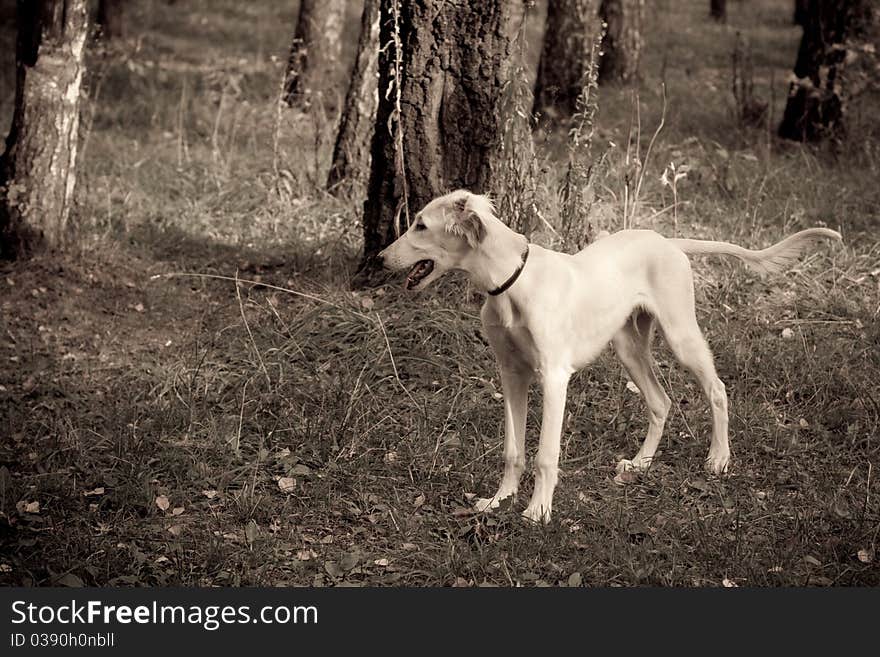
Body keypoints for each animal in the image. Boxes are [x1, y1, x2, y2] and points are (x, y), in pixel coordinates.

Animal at [378, 191, 840, 524]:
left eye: (421, 224)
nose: (379, 258)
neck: (512, 283)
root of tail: (666, 240)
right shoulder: (511, 373)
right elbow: (513, 449)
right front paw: (499, 500)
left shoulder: (554, 377)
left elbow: (545, 454)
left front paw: (537, 511)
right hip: (629, 347)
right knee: (661, 401)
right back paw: (640, 464)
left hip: (681, 334)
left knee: (717, 388)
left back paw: (718, 458)